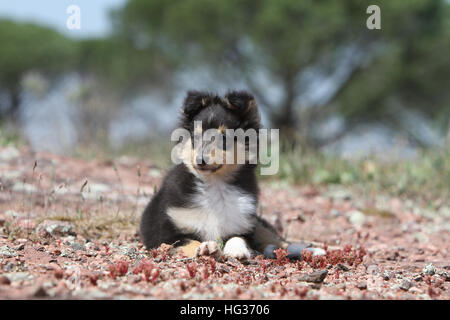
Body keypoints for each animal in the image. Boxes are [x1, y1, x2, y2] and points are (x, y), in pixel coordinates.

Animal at [141, 90, 288, 260]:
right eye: (195, 137)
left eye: (223, 138)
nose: (200, 160)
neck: (214, 184)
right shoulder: (165, 234)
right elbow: (189, 241)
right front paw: (206, 248)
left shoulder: (243, 226)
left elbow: (237, 237)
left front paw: (237, 250)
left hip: (259, 225)